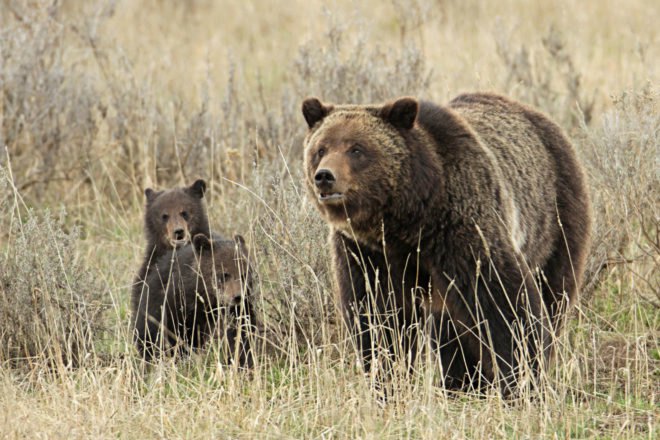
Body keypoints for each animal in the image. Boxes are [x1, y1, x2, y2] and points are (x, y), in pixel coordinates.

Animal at [132, 234, 257, 367]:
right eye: (224, 274)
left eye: (244, 274)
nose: (238, 296)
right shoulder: (177, 306)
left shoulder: (239, 312)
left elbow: (242, 334)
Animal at [301, 92, 591, 395]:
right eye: (321, 149)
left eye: (356, 149)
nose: (324, 176)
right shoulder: (366, 253)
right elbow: (378, 315)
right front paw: (387, 379)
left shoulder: (460, 228)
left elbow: (504, 302)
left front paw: (522, 379)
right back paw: (461, 381)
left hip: (555, 220)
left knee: (554, 292)